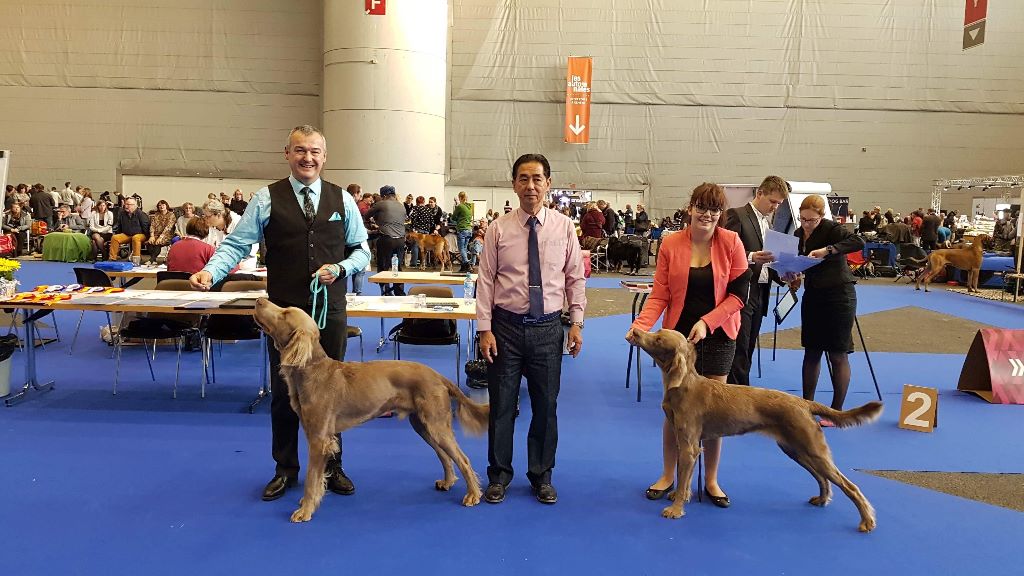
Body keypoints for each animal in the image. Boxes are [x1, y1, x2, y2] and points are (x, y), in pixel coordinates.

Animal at [622, 327, 880, 528]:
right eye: (657, 331)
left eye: (658, 339)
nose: (636, 332)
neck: (684, 385)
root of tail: (805, 402)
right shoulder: (685, 441)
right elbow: (682, 474)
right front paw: (680, 496)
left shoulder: (690, 446)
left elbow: (684, 474)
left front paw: (675, 510)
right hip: (795, 449)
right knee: (822, 478)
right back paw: (822, 499)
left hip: (812, 448)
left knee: (849, 485)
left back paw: (866, 521)